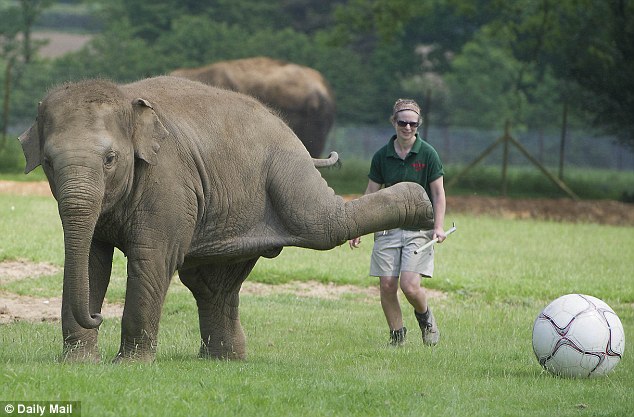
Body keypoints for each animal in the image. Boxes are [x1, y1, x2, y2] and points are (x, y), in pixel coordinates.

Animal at [17, 76, 432, 362]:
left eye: (110, 159)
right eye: (48, 162)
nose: (96, 315)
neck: (127, 100)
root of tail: (291, 134)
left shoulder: (169, 181)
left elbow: (151, 258)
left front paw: (129, 366)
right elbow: (91, 261)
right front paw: (79, 364)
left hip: (285, 169)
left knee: (325, 225)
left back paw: (423, 206)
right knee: (211, 282)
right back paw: (224, 360)